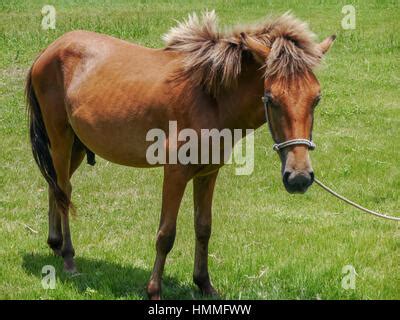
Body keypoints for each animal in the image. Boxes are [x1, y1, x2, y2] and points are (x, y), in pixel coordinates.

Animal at [25, 11, 334, 298]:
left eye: (316, 99)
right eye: (271, 98)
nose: (299, 177)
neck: (210, 99)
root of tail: (49, 50)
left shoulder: (208, 173)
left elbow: (203, 228)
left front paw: (204, 284)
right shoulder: (175, 173)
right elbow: (166, 234)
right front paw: (154, 290)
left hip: (75, 146)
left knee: (56, 185)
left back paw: (55, 244)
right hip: (61, 140)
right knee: (64, 192)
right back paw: (68, 257)